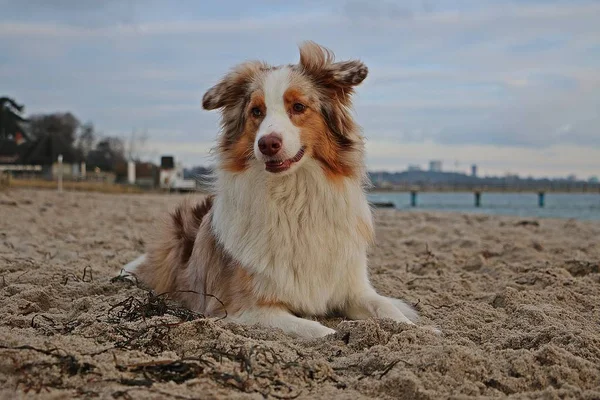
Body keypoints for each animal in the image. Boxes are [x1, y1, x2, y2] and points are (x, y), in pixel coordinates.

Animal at [124, 42, 420, 338]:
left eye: (298, 107)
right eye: (256, 111)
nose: (267, 144)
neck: (294, 197)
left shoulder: (353, 288)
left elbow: (387, 308)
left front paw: (413, 328)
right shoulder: (244, 308)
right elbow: (319, 330)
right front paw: (336, 335)